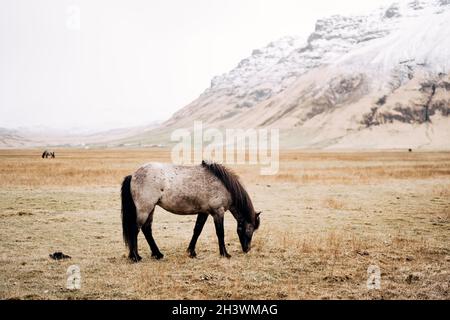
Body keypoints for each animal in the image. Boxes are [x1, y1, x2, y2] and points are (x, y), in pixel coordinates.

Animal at [120, 159, 260, 262]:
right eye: (250, 229)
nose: (247, 249)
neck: (223, 185)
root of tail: (133, 175)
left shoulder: (204, 212)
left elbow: (197, 230)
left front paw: (191, 252)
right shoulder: (218, 212)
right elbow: (220, 233)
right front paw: (225, 254)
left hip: (151, 208)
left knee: (147, 229)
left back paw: (158, 254)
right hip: (145, 209)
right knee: (135, 229)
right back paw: (135, 257)